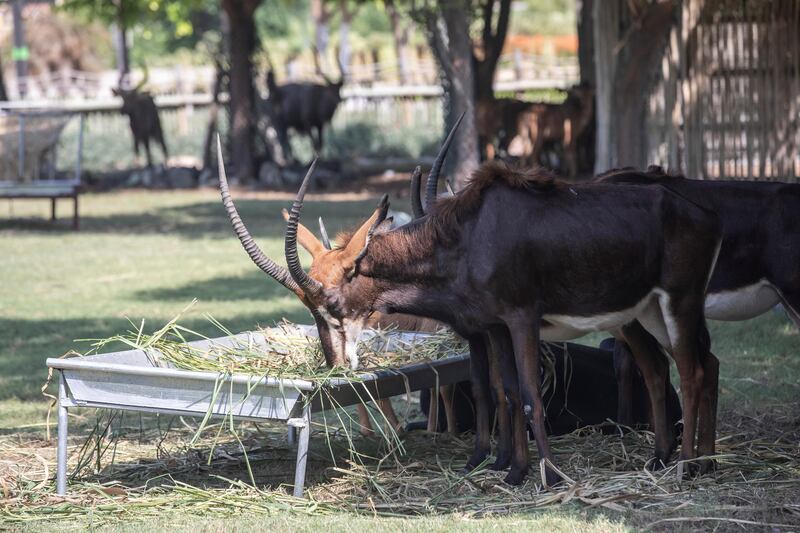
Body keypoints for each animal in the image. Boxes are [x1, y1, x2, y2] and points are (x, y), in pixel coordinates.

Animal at [278, 117, 720, 486]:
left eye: (332, 302)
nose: (335, 365)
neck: (468, 235)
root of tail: (701, 213)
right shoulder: (493, 326)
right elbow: (501, 389)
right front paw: (507, 467)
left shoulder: (521, 318)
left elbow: (528, 395)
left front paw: (548, 475)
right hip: (645, 312)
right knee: (668, 367)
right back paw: (668, 459)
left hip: (678, 302)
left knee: (692, 370)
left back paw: (688, 465)